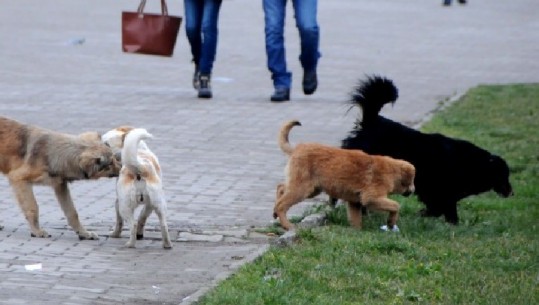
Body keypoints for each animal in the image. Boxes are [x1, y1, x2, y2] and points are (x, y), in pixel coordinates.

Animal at [274, 120, 418, 229]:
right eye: (412, 181)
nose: (413, 190)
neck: (391, 171)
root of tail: (296, 149)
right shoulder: (371, 198)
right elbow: (395, 205)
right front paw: (391, 222)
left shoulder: (354, 202)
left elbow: (356, 219)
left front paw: (357, 233)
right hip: (303, 188)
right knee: (282, 204)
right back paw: (287, 225)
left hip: (311, 188)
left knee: (281, 188)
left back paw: (275, 213)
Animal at [342, 75, 516, 223]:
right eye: (504, 175)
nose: (512, 193)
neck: (473, 164)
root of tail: (371, 121)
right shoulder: (440, 192)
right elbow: (444, 209)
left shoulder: (441, 195)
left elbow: (441, 209)